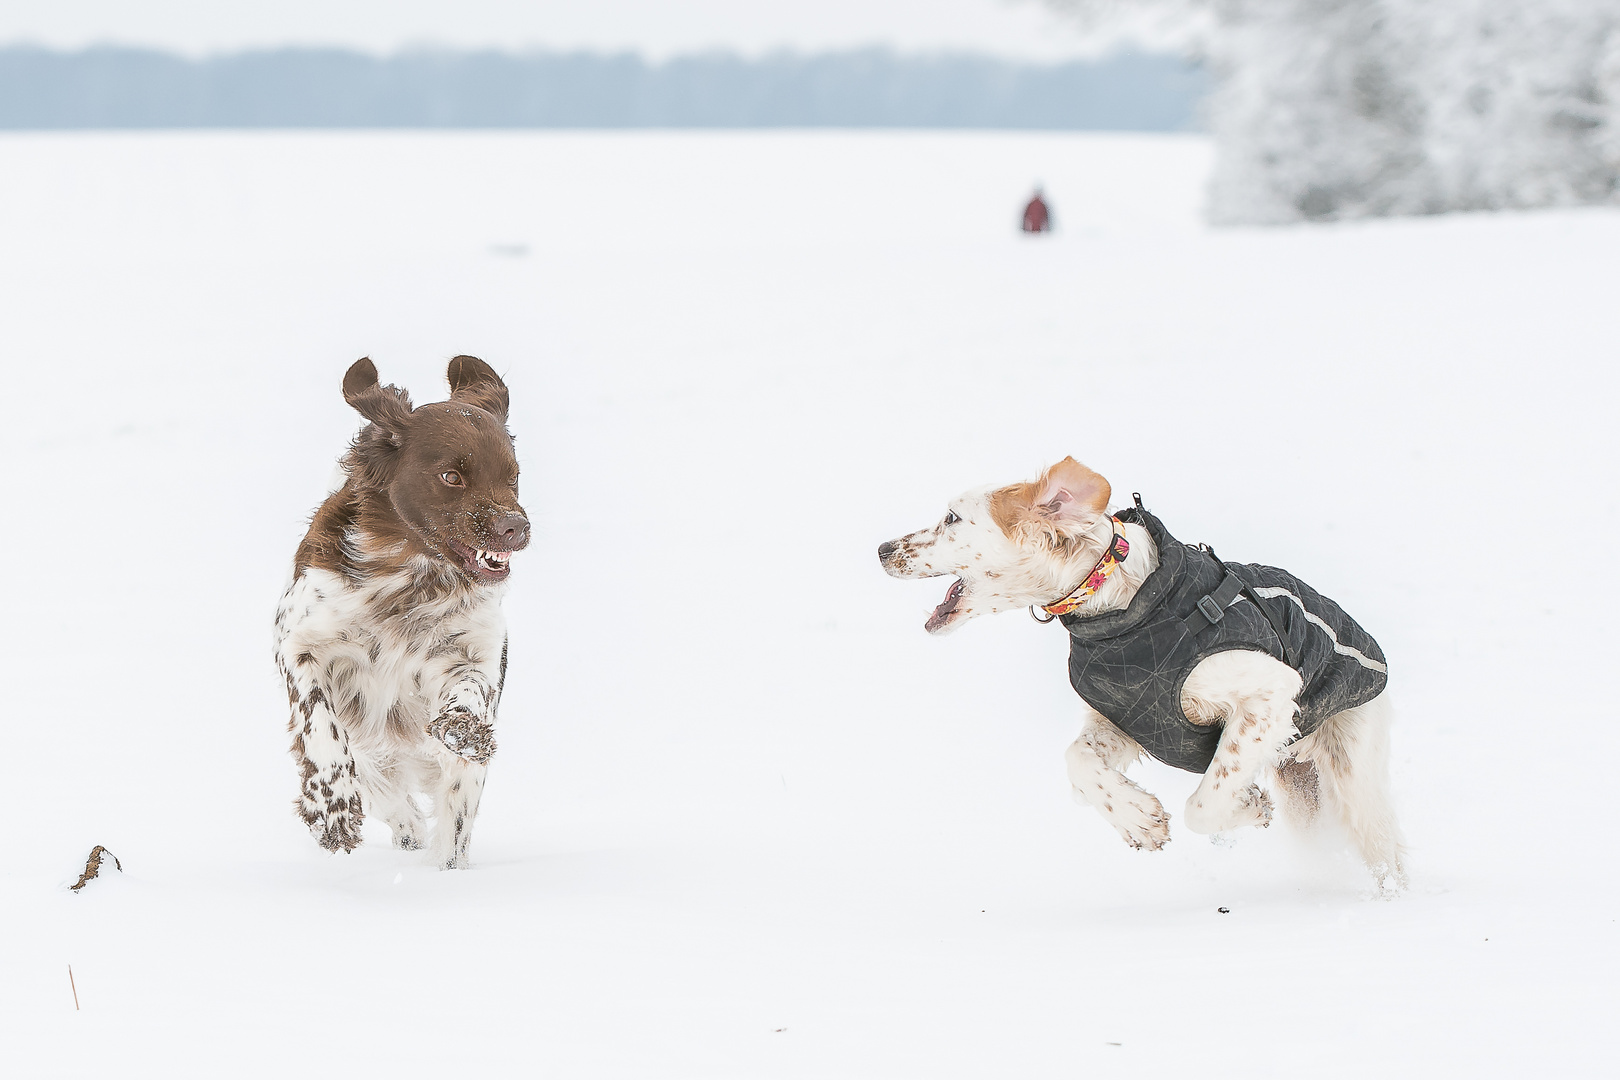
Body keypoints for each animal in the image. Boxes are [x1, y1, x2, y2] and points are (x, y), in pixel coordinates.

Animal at [275, 354, 528, 867]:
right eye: (452, 476)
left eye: (512, 476)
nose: (517, 527)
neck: (411, 577)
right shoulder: (297, 642)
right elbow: (318, 720)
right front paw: (330, 806)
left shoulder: (475, 652)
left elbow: (469, 690)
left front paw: (463, 728)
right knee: (386, 793)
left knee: (450, 829)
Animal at [874, 459, 1406, 893]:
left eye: (951, 518)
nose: (881, 549)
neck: (1123, 609)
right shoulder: (1126, 718)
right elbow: (1077, 762)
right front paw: (1139, 821)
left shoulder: (1270, 695)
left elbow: (1202, 805)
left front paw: (1248, 806)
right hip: (1303, 794)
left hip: (1354, 778)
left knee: (1388, 859)